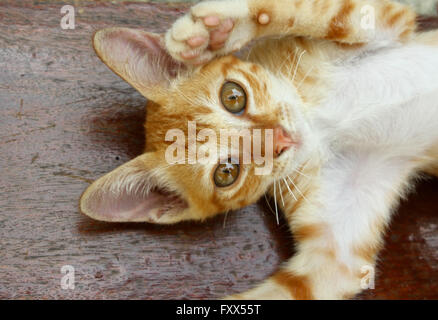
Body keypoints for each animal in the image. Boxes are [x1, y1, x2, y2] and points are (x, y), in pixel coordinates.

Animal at [79, 0, 438, 300]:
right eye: (226, 172)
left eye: (233, 96)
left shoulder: (386, 21)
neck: (322, 125)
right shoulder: (338, 255)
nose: (280, 139)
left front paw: (217, 29)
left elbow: (325, 12)